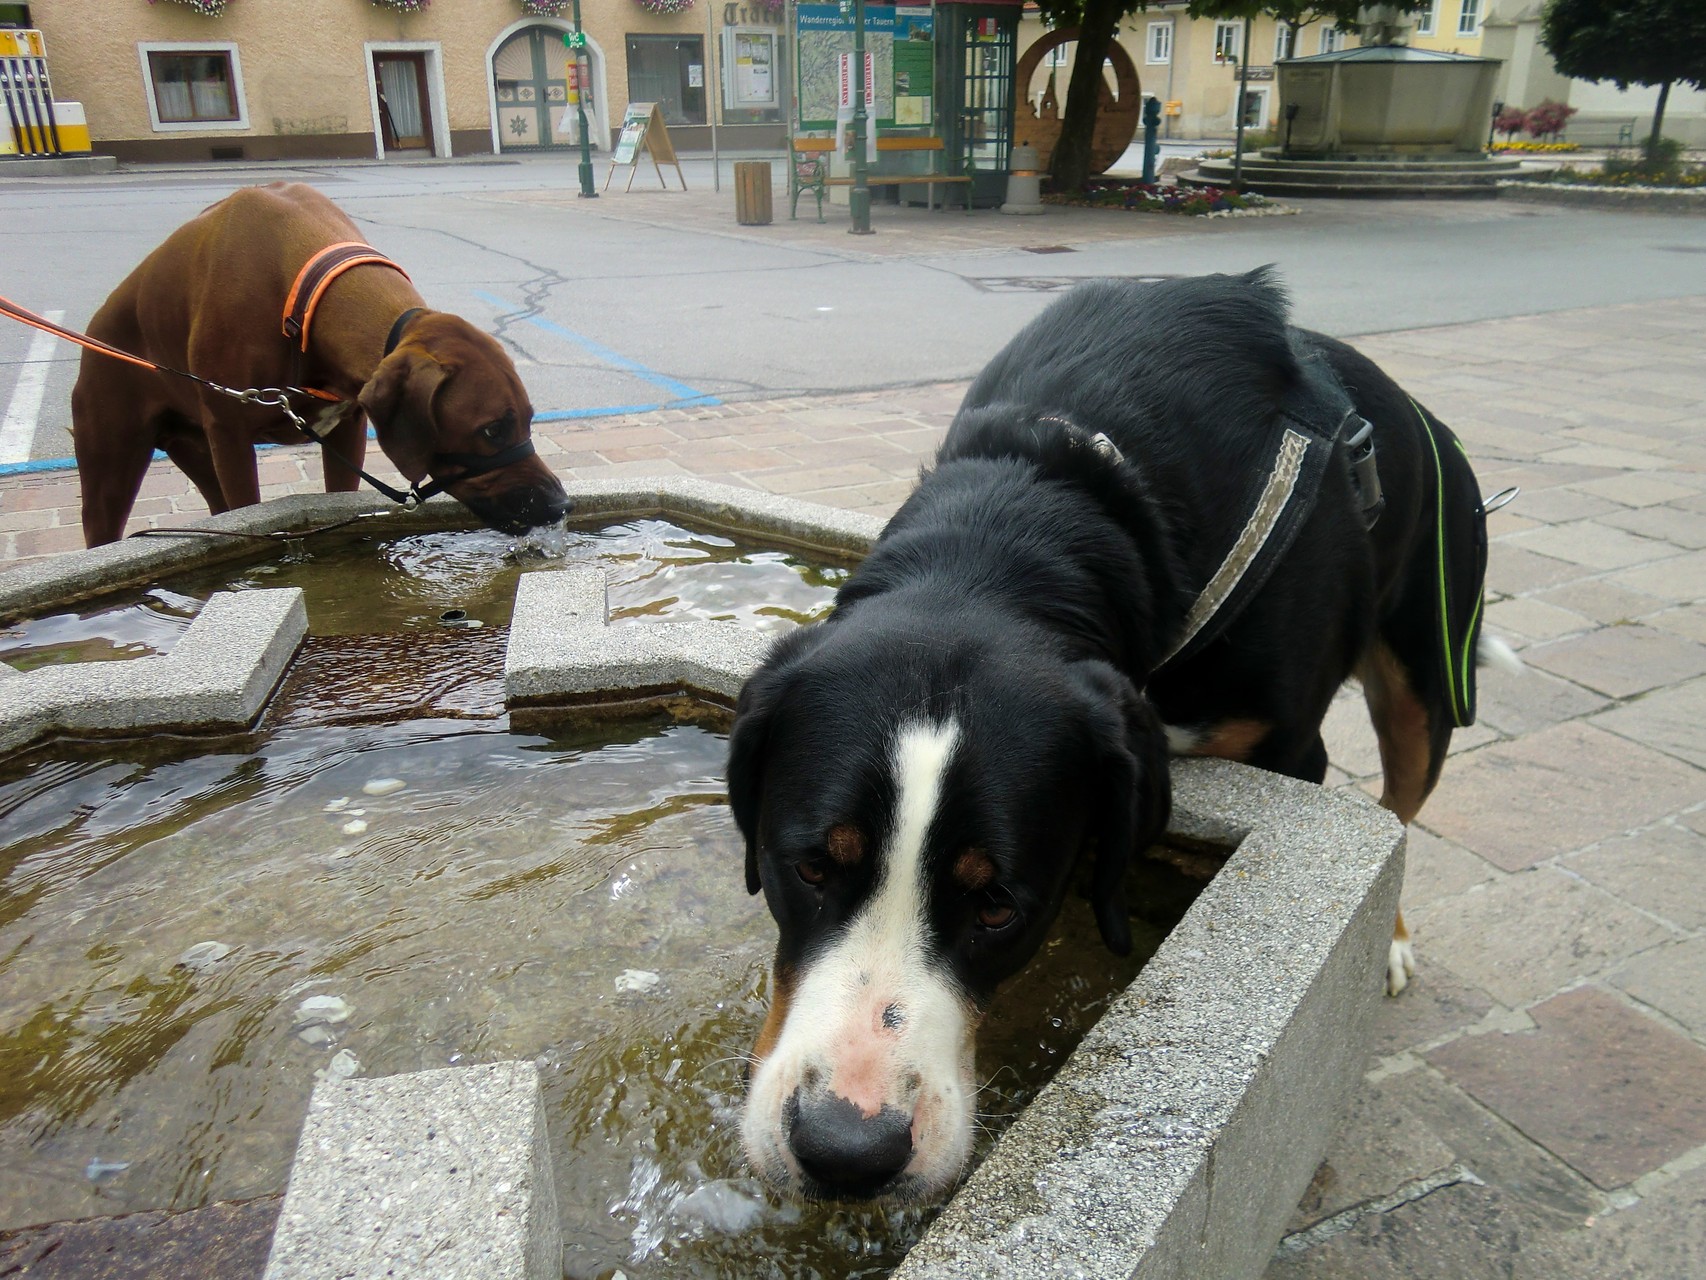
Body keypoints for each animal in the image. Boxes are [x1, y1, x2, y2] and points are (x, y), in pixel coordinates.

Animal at [69, 181, 569, 546]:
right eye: (492, 429)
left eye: (529, 419)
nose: (561, 505)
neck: (302, 295)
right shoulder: (229, 437)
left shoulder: (349, 428)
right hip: (111, 462)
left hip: (193, 448)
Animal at [730, 271, 1494, 1201]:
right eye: (807, 866)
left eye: (997, 905)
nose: (845, 1150)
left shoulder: (1291, 749)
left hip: (1432, 664)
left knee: (1401, 799)